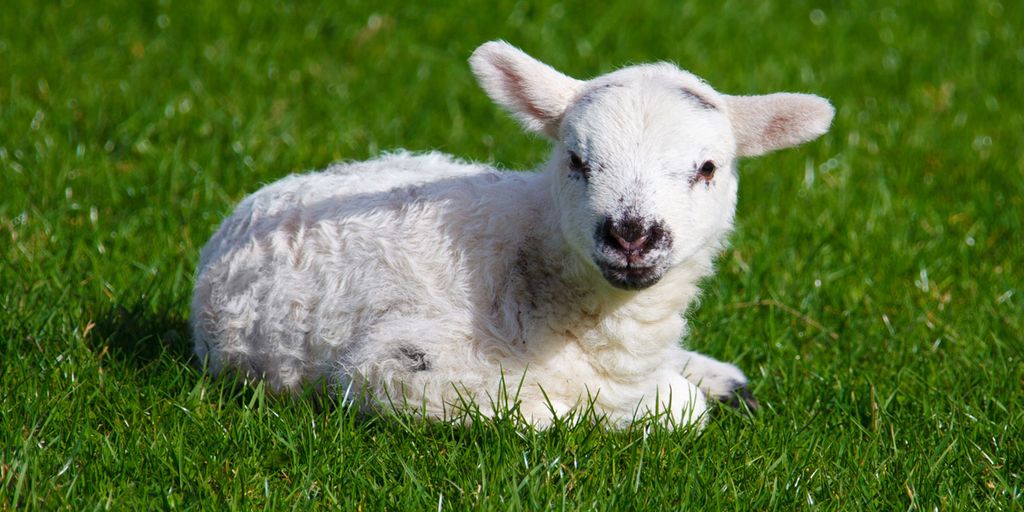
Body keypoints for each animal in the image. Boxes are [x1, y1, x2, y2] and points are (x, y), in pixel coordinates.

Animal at [192, 41, 831, 428]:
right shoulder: (397, 366)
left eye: (707, 168)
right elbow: (556, 410)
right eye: (576, 160)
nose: (631, 235)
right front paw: (647, 405)